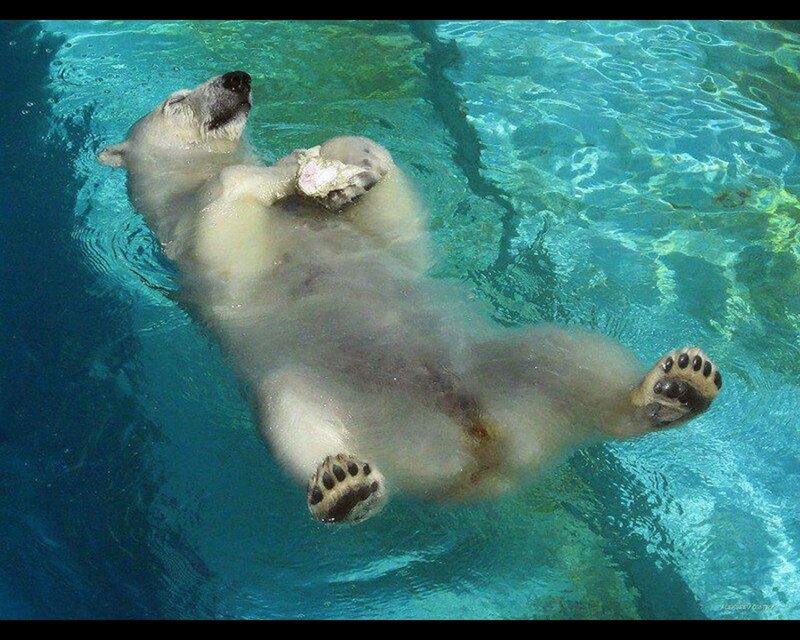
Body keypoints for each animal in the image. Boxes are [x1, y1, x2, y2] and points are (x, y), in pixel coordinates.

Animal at [98, 71, 722, 525]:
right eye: (176, 99)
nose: (237, 78)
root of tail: (484, 461)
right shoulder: (183, 243)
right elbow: (224, 220)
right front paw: (287, 169)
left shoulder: (355, 232)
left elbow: (400, 236)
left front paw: (358, 160)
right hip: (319, 391)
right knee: (295, 420)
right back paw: (344, 488)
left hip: (497, 359)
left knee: (572, 356)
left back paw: (677, 386)